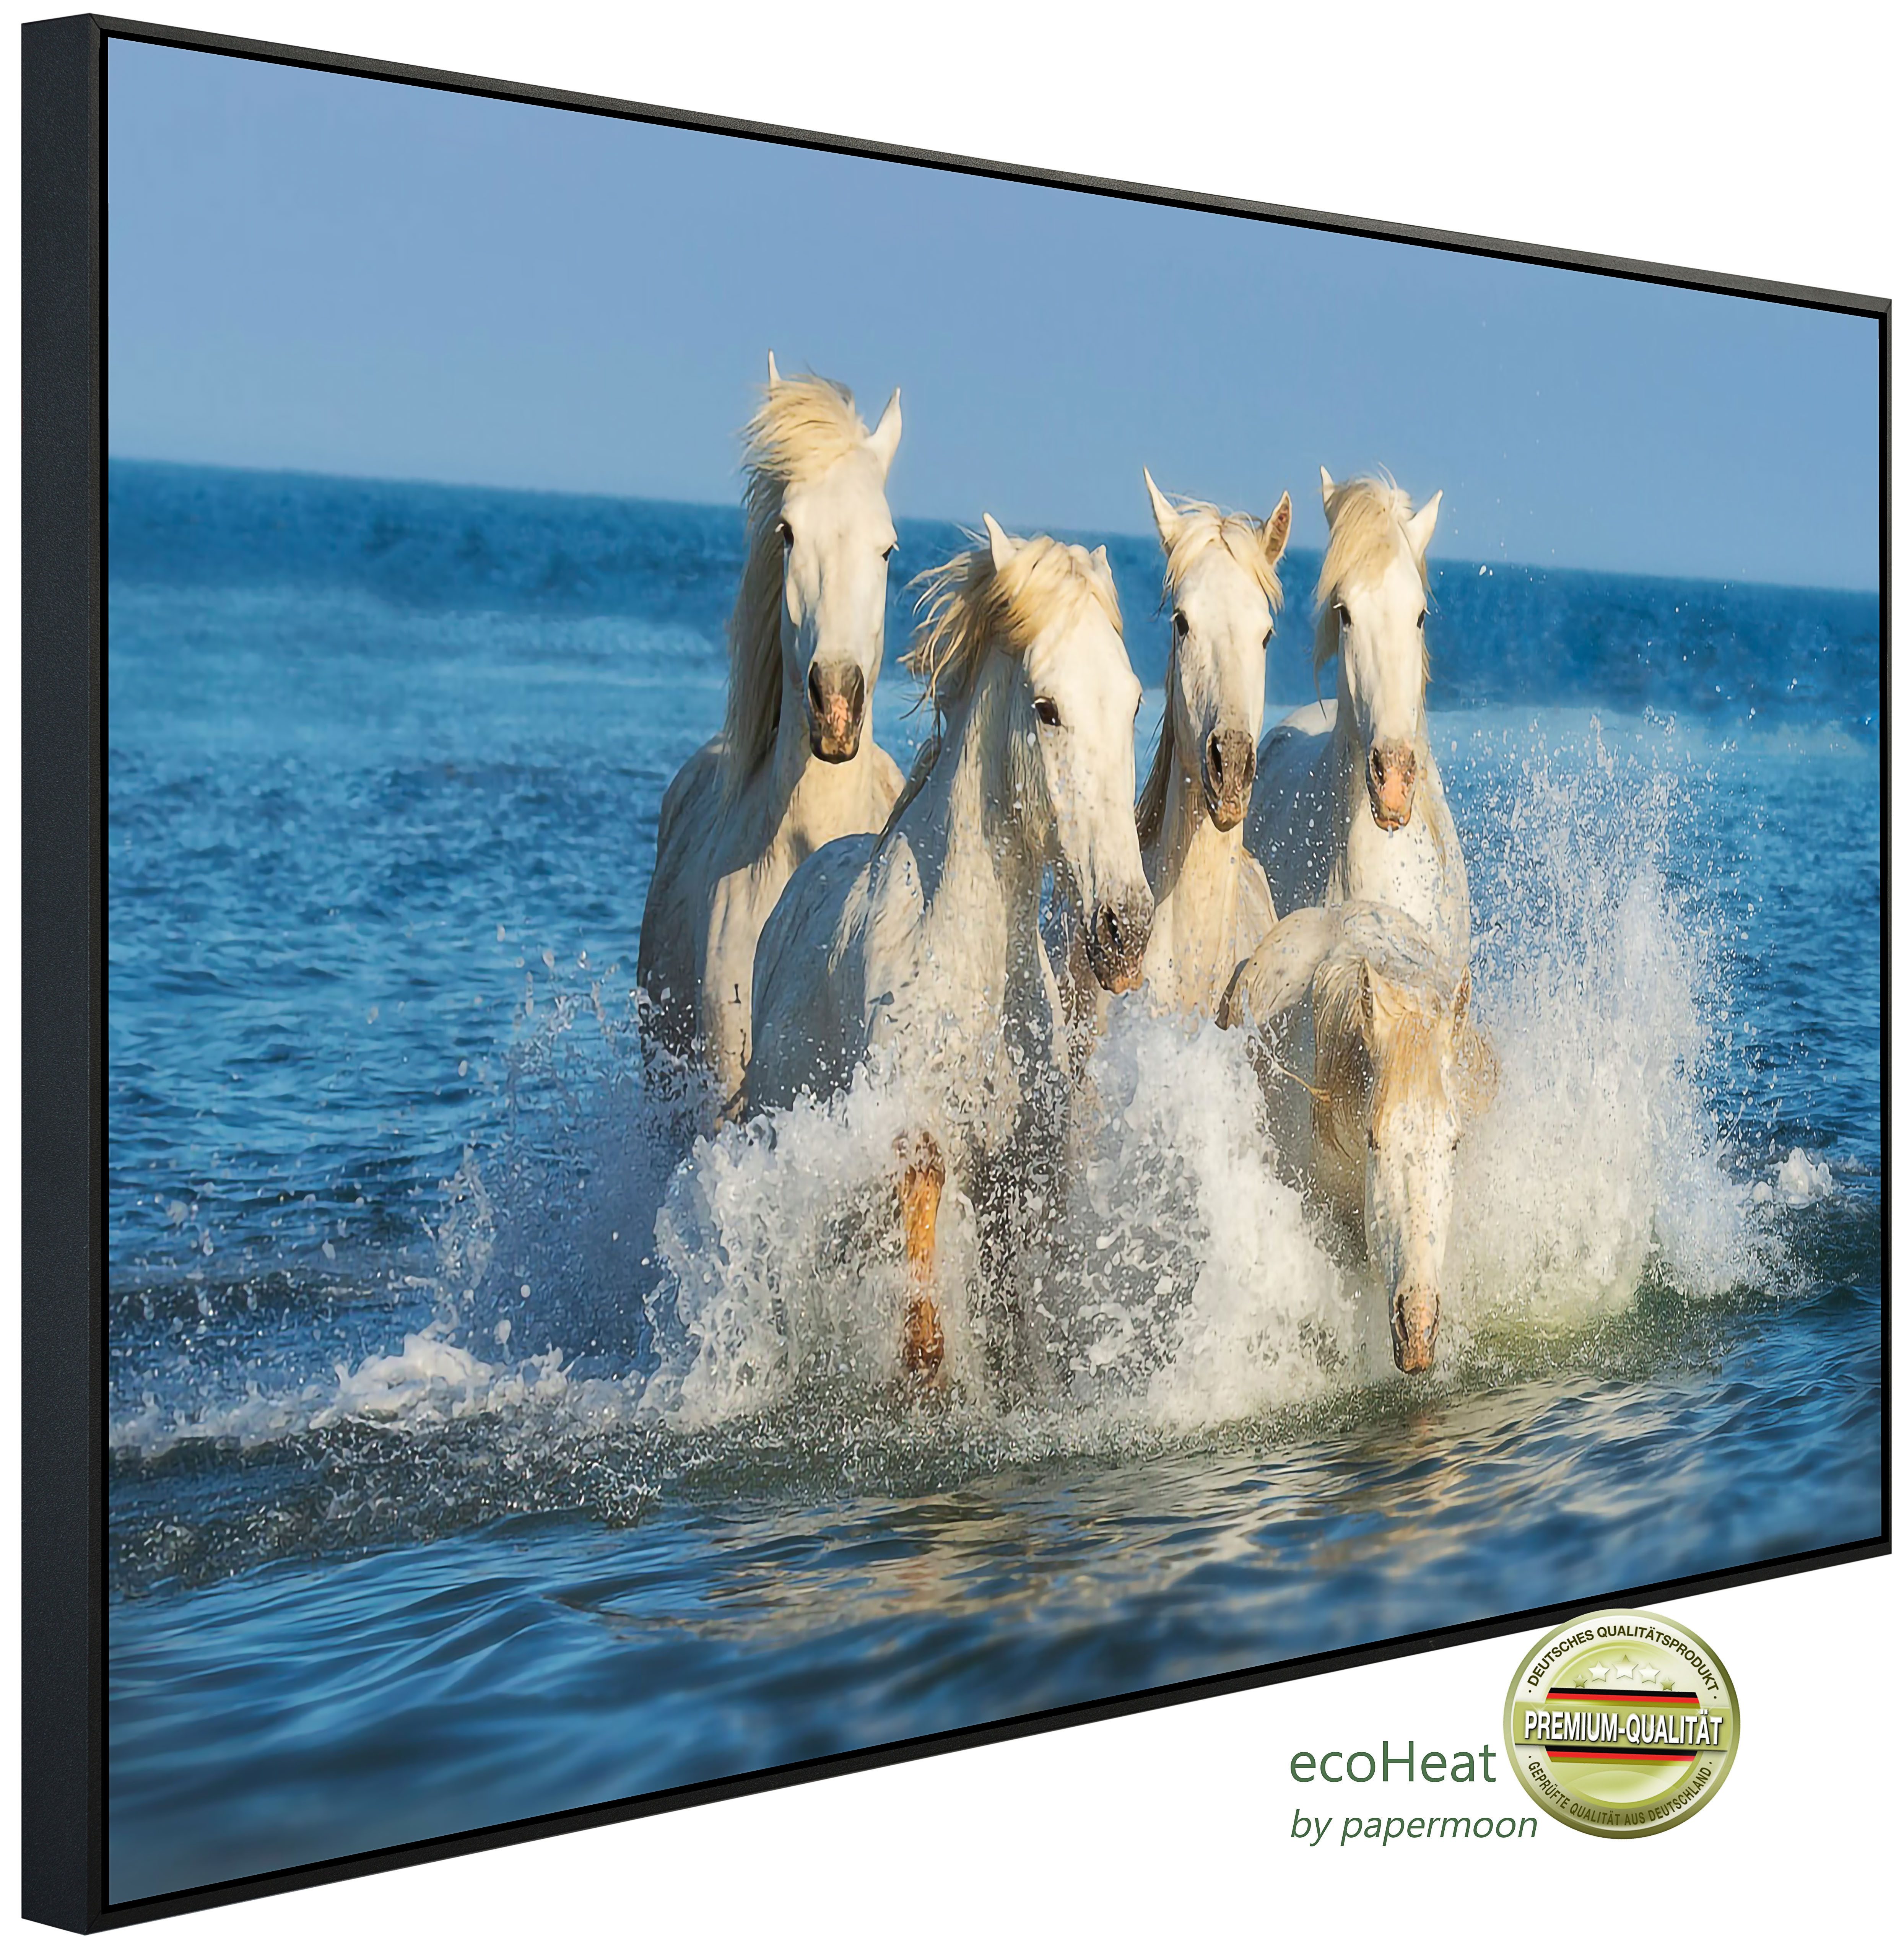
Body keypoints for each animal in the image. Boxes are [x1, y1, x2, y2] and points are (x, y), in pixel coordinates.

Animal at [744, 516, 1151, 1382]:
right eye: (1046, 708)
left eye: (1133, 702)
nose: (1124, 932)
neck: (968, 967)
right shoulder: (910, 1137)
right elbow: (924, 1328)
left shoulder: (1023, 1173)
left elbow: (1013, 1330)